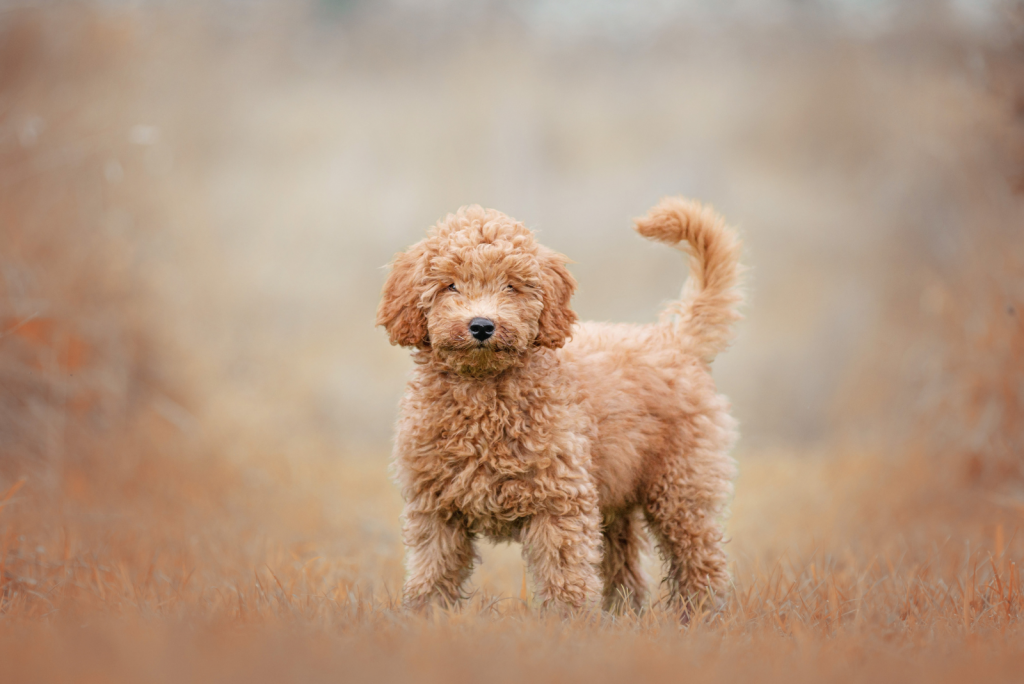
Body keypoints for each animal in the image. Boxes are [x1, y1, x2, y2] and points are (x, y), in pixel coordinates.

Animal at [376, 196, 745, 614]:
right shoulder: (437, 507)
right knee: (626, 564)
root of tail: (676, 340)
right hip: (616, 498)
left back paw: (702, 615)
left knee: (701, 559)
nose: (482, 325)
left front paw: (568, 623)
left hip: (682, 487)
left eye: (512, 286)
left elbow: (564, 571)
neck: (484, 395)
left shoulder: (560, 500)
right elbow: (433, 570)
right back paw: (623, 615)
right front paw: (427, 617)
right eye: (450, 285)